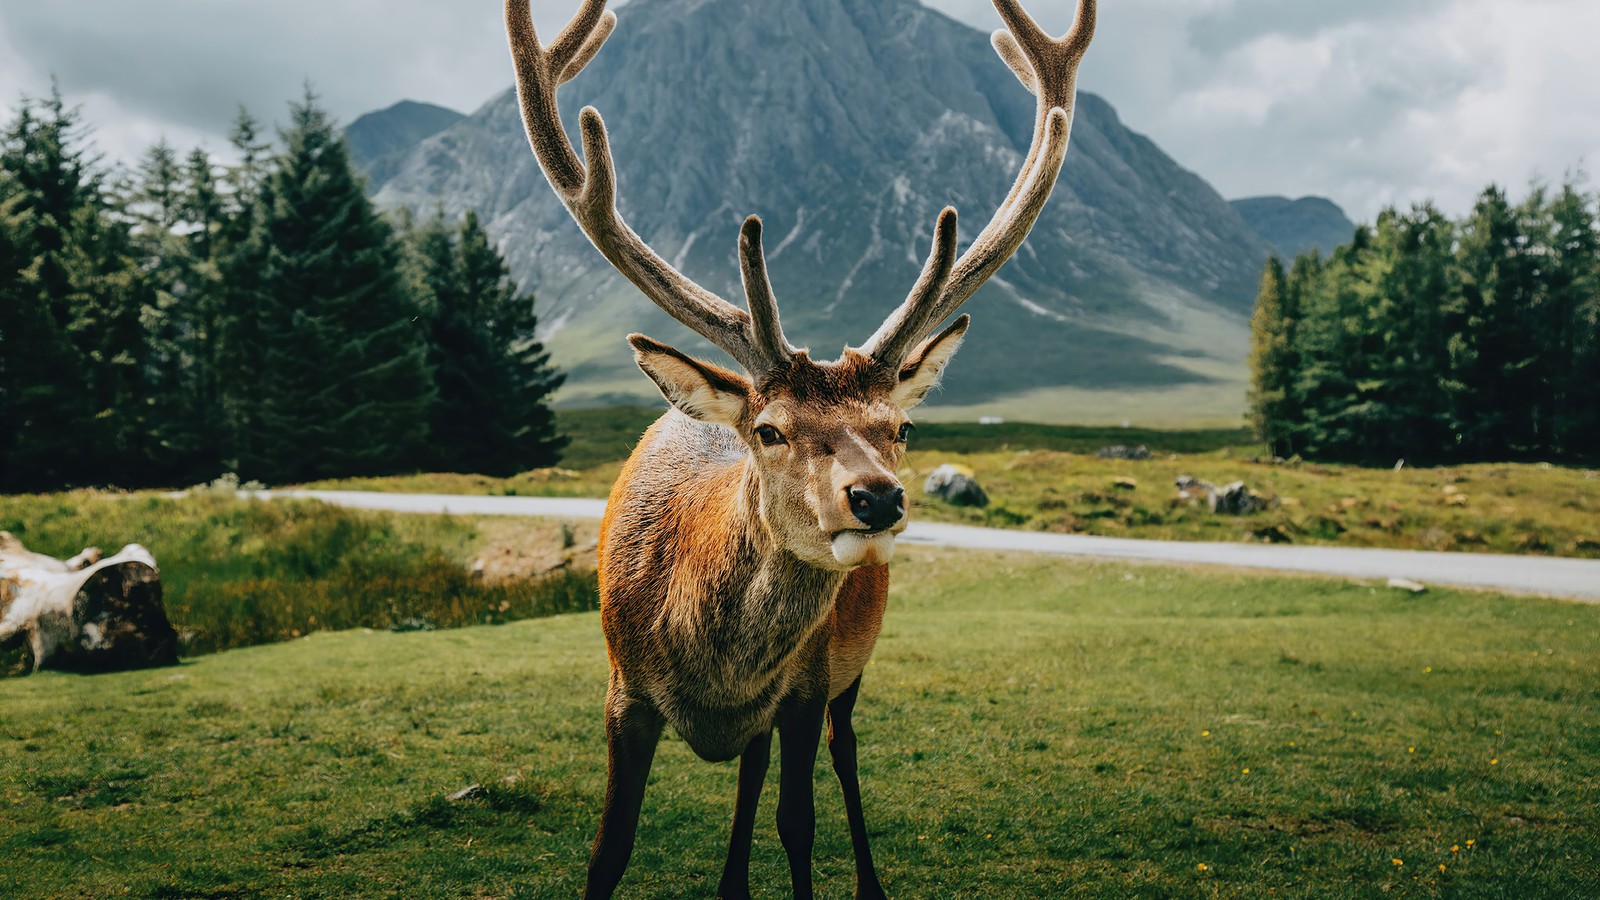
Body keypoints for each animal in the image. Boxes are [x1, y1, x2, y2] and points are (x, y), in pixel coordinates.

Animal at [505, 0, 1094, 890]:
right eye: (769, 429)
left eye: (901, 428)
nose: (876, 495)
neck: (713, 675)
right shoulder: (623, 692)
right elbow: (609, 850)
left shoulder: (805, 688)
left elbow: (798, 823)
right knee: (748, 777)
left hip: (851, 666)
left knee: (840, 753)